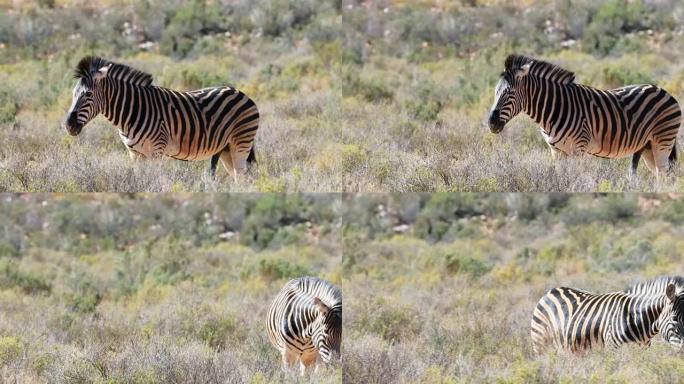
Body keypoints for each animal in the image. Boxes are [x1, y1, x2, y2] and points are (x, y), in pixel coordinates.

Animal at [65, 56, 260, 181]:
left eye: (88, 95)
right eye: (73, 93)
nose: (69, 125)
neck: (132, 112)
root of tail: (240, 92)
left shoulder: (156, 151)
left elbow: (153, 180)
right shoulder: (134, 154)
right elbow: (139, 181)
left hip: (241, 143)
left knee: (243, 178)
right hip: (226, 149)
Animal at [486, 54, 680, 178]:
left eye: (509, 93)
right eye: (495, 92)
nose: (491, 123)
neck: (554, 109)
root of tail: (664, 91)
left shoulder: (578, 148)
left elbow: (575, 177)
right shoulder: (557, 151)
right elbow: (561, 179)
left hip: (662, 142)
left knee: (664, 175)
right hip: (648, 147)